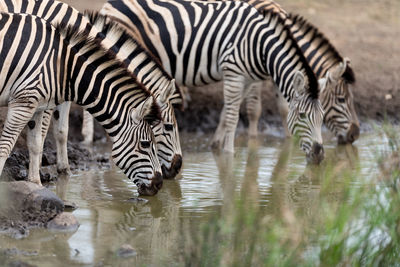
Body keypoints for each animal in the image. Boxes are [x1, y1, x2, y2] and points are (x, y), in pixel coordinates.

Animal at [0, 0, 184, 182]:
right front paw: (39, 168)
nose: (177, 167)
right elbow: (44, 131)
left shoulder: (64, 90)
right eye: (168, 127)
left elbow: (62, 131)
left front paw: (64, 169)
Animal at [101, 0, 326, 163]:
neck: (259, 44)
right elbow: (233, 117)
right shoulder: (233, 72)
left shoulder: (245, 78)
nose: (319, 154)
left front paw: (217, 145)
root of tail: (109, 4)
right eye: (303, 115)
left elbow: (227, 112)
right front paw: (229, 154)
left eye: (322, 117)